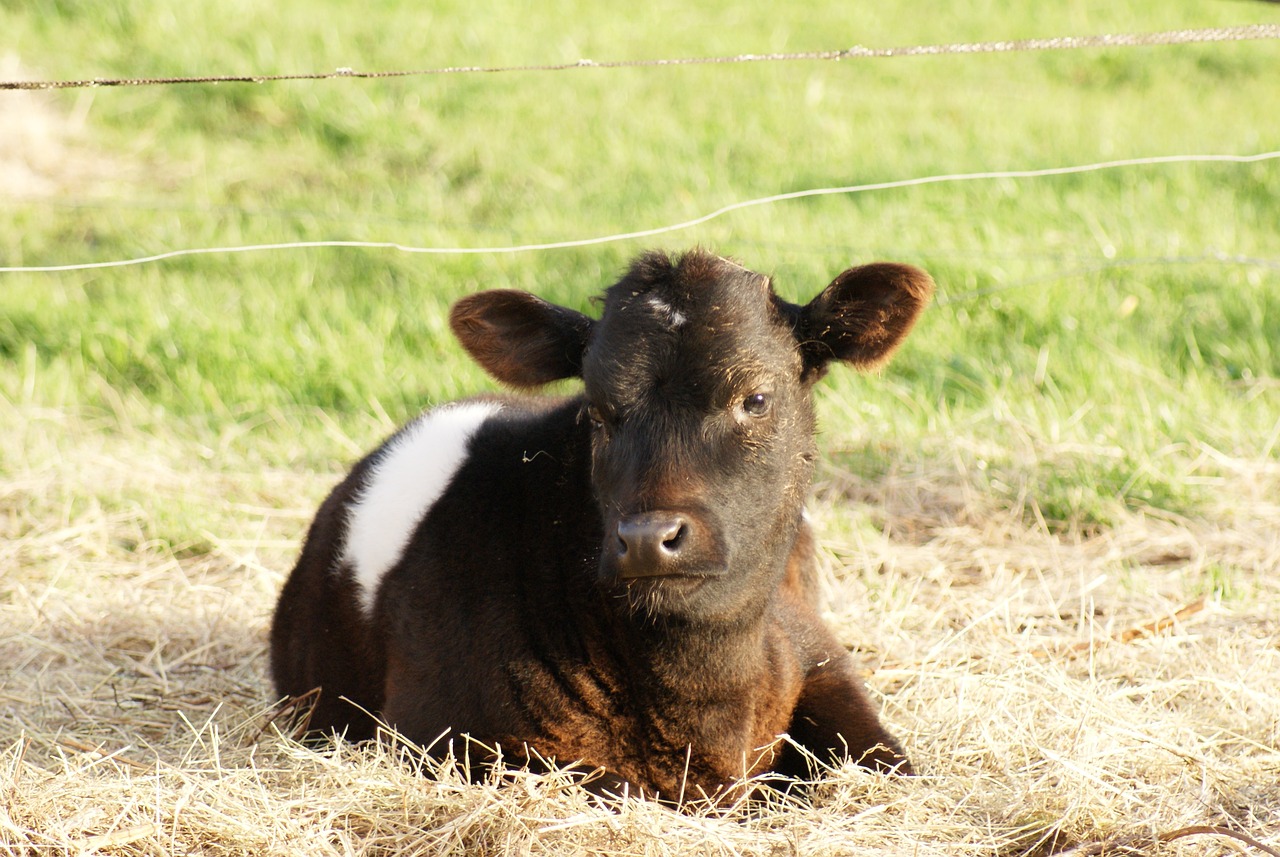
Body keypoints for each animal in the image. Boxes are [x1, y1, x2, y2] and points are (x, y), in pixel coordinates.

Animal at [270, 248, 931, 802]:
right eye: (598, 409)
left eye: (756, 399)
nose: (647, 539)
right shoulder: (438, 733)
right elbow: (618, 789)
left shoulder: (819, 654)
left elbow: (889, 764)